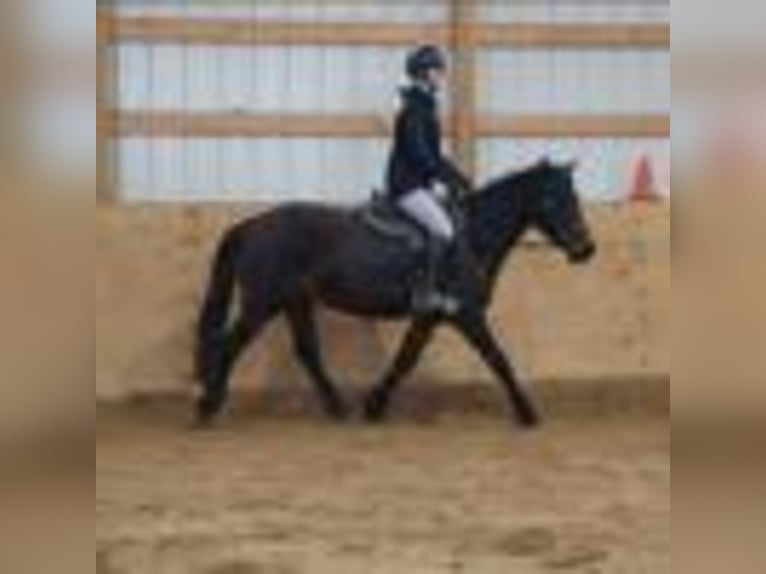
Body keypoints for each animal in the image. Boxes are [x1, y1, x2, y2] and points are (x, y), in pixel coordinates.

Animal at [195, 159, 596, 428]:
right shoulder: (466, 314)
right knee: (228, 345)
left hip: (296, 301)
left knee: (307, 352)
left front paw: (375, 405)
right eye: (555, 200)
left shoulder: (430, 315)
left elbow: (406, 358)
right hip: (262, 303)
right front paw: (528, 413)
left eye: (574, 197)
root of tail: (252, 225)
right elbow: (498, 359)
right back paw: (208, 406)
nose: (585, 249)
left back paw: (338, 408)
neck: (471, 237)